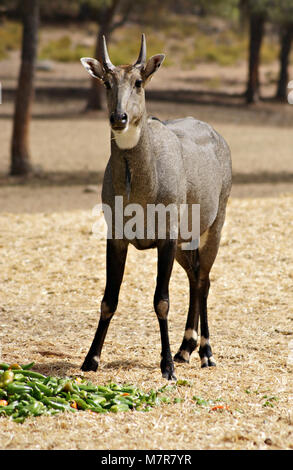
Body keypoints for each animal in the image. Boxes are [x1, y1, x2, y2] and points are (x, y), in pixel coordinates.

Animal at [79, 35, 230, 380]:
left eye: (138, 82)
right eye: (107, 82)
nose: (119, 118)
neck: (139, 184)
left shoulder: (166, 238)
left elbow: (161, 301)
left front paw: (167, 367)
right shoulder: (117, 238)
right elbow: (108, 299)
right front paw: (90, 359)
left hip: (213, 228)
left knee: (204, 280)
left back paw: (205, 352)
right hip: (184, 244)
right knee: (194, 277)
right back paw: (185, 348)